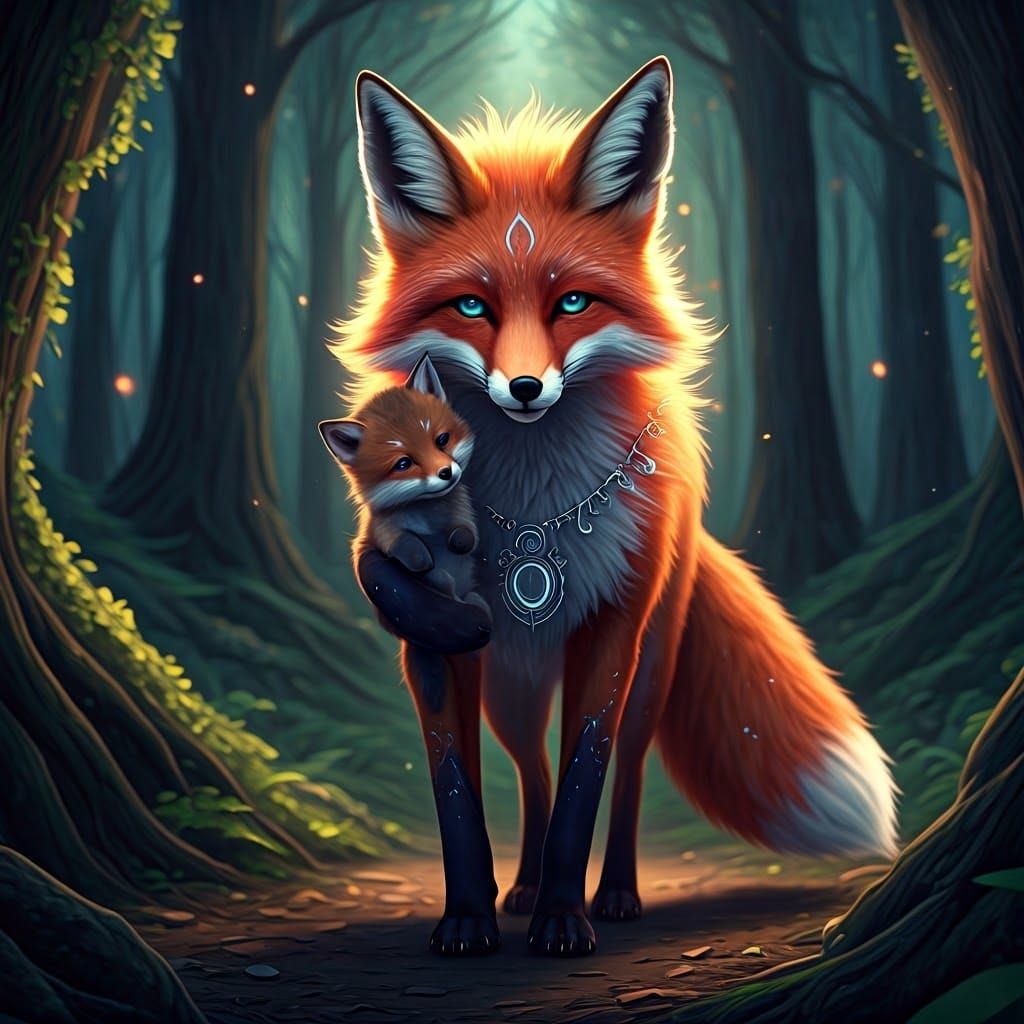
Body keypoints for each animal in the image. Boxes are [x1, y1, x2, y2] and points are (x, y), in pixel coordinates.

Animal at [330, 56, 898, 958]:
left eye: (572, 303)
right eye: (471, 306)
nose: (526, 388)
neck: (529, 511)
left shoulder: (611, 635)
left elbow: (584, 788)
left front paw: (567, 918)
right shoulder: (432, 658)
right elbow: (458, 795)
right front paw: (470, 917)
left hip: (651, 665)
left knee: (622, 773)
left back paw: (616, 894)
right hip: (513, 693)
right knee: (531, 772)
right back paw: (522, 888)